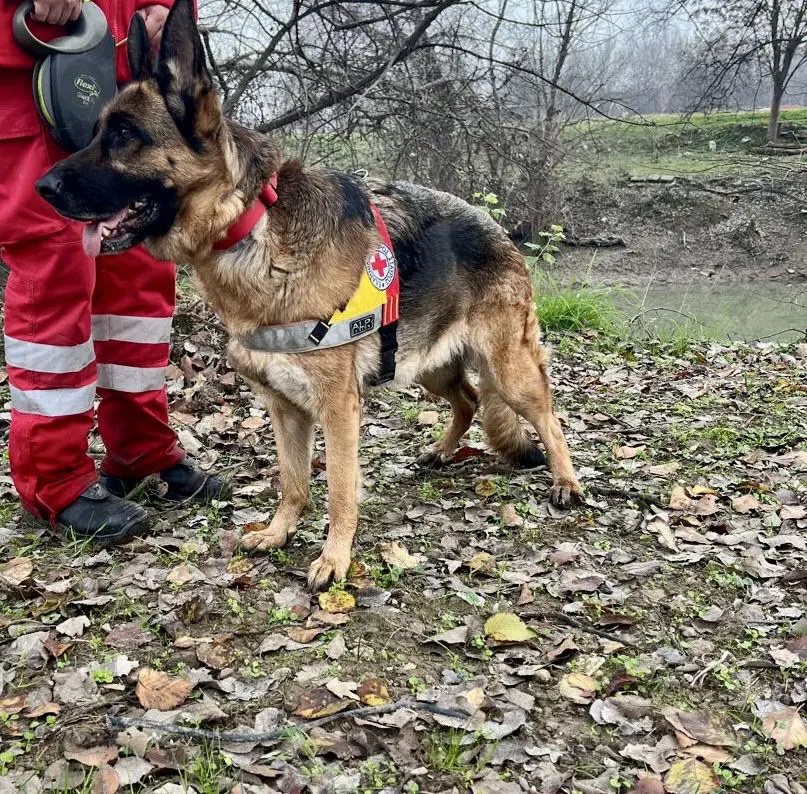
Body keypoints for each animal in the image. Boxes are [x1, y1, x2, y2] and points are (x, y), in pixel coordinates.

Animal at [38, 0, 584, 588]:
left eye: (124, 135)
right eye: (98, 131)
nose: (43, 188)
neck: (250, 225)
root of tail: (498, 226)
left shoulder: (337, 408)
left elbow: (341, 489)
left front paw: (334, 559)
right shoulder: (284, 407)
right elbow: (294, 480)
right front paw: (279, 533)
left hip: (508, 368)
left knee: (547, 417)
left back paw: (567, 482)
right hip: (426, 364)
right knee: (469, 399)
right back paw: (441, 451)